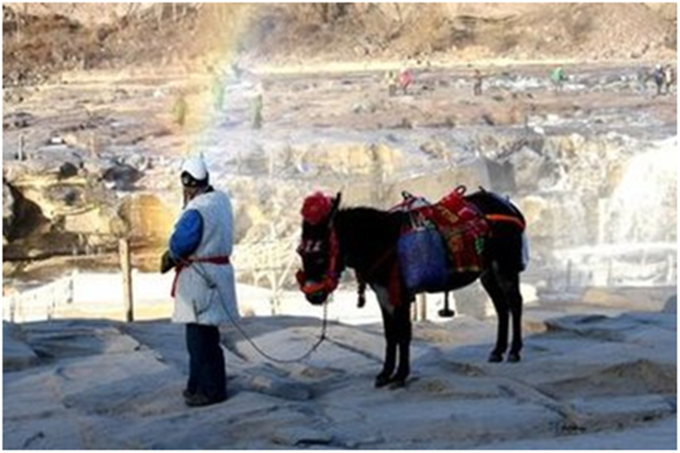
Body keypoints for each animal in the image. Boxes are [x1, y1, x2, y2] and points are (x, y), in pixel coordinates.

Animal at [296, 188, 527, 388]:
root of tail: (507, 204)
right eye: (301, 252)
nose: (313, 294)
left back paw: (514, 351)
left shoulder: (401, 296)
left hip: (505, 266)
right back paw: (497, 351)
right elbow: (391, 335)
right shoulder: (384, 296)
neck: (381, 241)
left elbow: (403, 333)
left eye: (321, 254)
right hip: (487, 273)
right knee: (501, 307)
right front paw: (385, 374)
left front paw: (400, 376)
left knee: (515, 303)